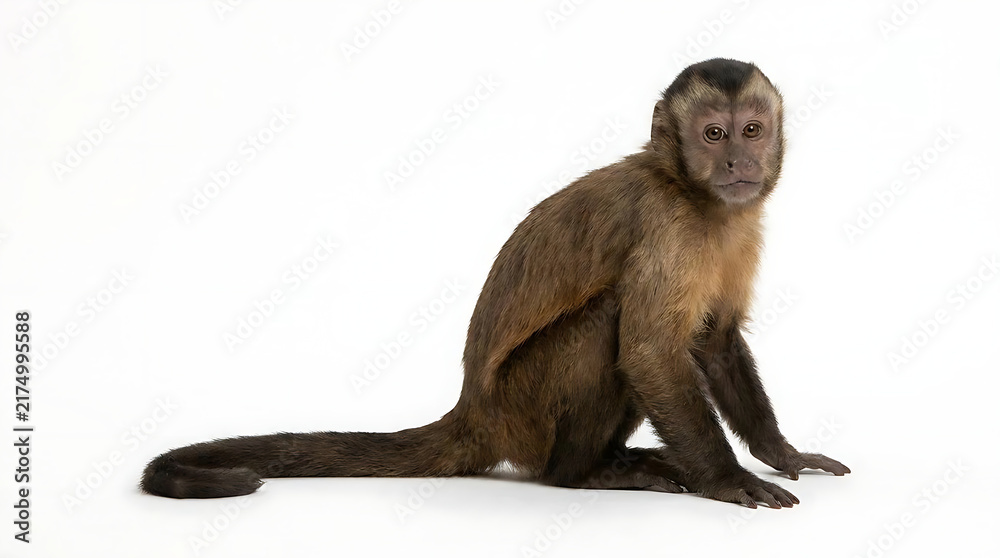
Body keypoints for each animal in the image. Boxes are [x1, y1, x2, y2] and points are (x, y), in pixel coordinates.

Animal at [141, 58, 849, 508]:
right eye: (713, 134)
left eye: (752, 129)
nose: (737, 163)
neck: (696, 197)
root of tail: (474, 412)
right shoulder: (668, 228)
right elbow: (651, 350)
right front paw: (727, 478)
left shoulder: (740, 227)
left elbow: (715, 342)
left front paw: (780, 453)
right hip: (523, 408)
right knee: (608, 320)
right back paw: (582, 474)